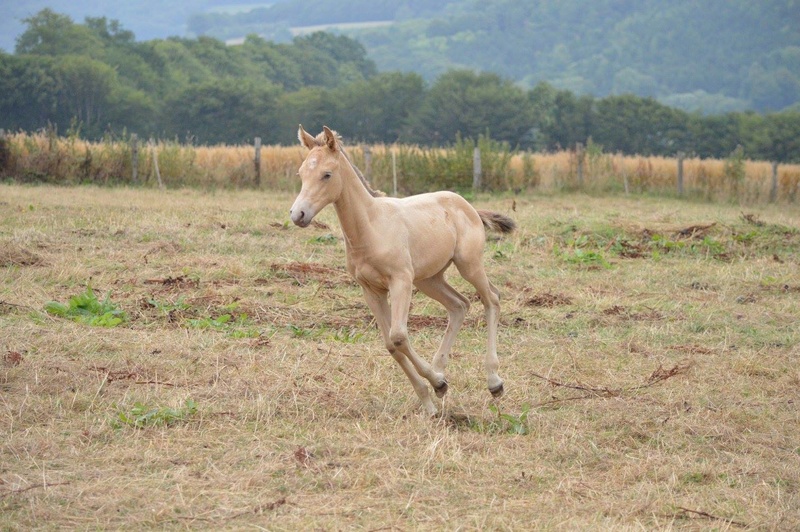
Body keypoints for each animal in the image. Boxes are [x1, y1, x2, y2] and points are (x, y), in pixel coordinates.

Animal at [290, 125, 516, 416]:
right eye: (301, 173)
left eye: (326, 174)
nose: (298, 214)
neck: (371, 227)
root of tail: (469, 207)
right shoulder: (371, 290)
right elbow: (391, 345)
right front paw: (432, 395)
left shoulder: (401, 281)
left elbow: (398, 336)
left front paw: (436, 383)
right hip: (430, 279)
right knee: (459, 305)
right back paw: (440, 369)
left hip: (469, 264)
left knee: (492, 299)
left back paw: (494, 381)